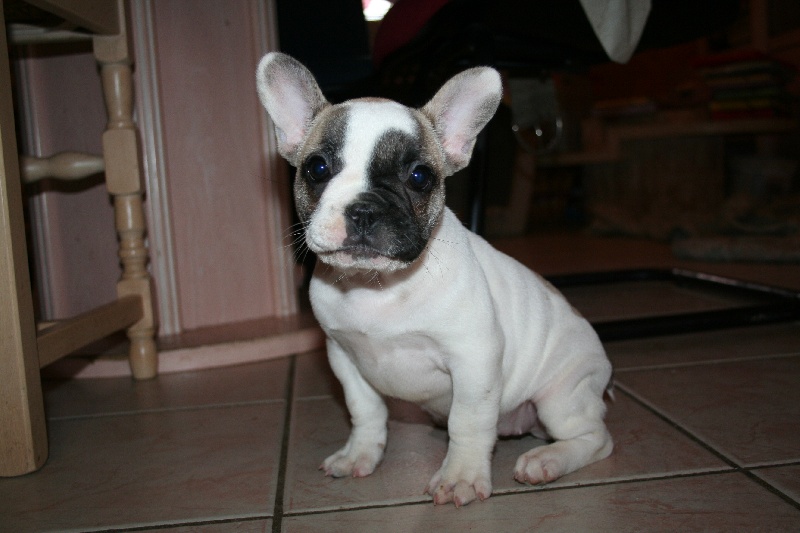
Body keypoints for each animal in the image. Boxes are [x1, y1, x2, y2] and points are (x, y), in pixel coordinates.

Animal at [256, 52, 612, 504]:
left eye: (420, 177)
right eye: (316, 168)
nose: (365, 209)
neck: (378, 288)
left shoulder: (474, 360)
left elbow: (469, 421)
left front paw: (460, 474)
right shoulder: (344, 358)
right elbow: (365, 410)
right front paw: (360, 454)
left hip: (562, 395)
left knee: (596, 438)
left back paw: (546, 460)